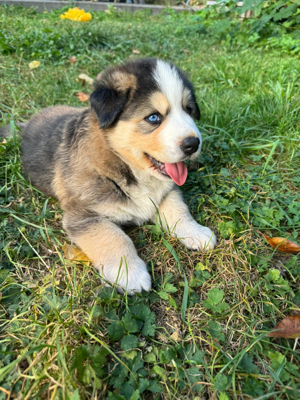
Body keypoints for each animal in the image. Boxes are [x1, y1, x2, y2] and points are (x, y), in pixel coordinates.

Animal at [21, 57, 218, 292]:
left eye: (188, 110)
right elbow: (113, 236)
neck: (128, 167)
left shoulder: (168, 191)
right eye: (153, 117)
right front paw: (129, 273)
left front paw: (196, 232)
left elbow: (178, 210)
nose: (193, 144)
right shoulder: (84, 214)